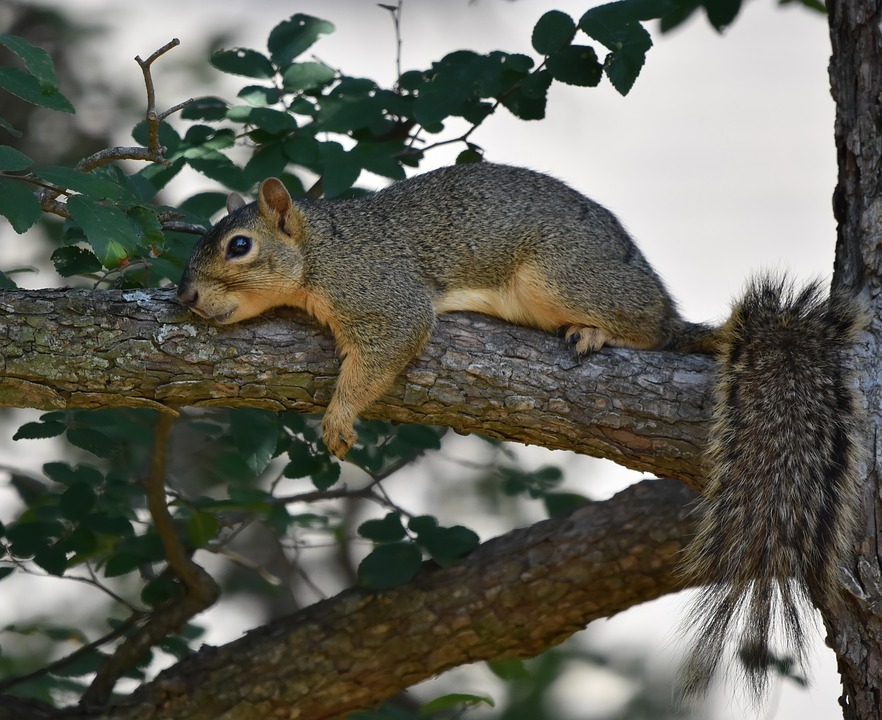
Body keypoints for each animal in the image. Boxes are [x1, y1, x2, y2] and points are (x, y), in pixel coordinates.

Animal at [177, 161, 864, 699]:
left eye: (238, 246)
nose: (185, 298)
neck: (321, 251)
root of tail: (664, 306)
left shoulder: (382, 295)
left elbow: (386, 348)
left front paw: (341, 416)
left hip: (561, 276)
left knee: (647, 333)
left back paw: (598, 331)